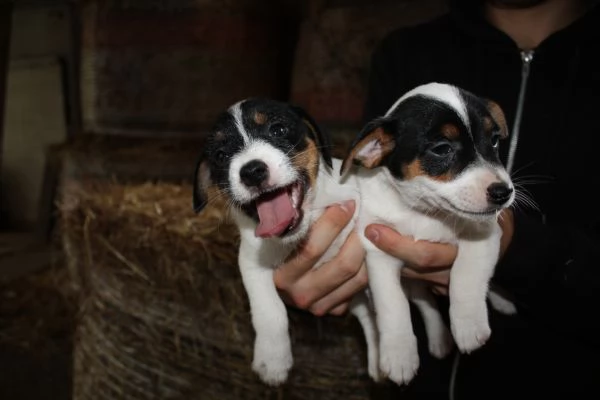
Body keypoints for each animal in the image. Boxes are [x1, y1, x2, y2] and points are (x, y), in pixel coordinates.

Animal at [192, 98, 380, 386]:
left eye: (278, 129)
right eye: (221, 155)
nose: (252, 171)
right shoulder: (251, 263)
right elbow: (271, 311)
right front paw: (272, 360)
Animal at [340, 83, 516, 386]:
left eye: (494, 140)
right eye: (442, 148)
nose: (503, 192)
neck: (424, 214)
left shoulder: (484, 235)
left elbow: (466, 276)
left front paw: (468, 324)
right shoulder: (379, 252)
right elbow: (392, 303)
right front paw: (399, 353)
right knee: (423, 301)